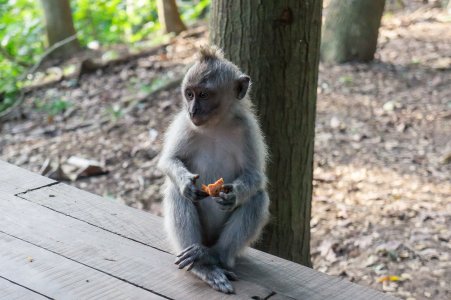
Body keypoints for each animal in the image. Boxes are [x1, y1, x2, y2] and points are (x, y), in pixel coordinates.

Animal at [157, 45, 270, 294]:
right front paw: (186, 183)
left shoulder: (247, 128)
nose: (193, 110)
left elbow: (256, 176)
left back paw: (213, 256)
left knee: (258, 197)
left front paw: (232, 195)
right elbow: (169, 160)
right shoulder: (184, 124)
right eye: (189, 94)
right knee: (176, 193)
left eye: (204, 95)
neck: (216, 125)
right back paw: (202, 266)